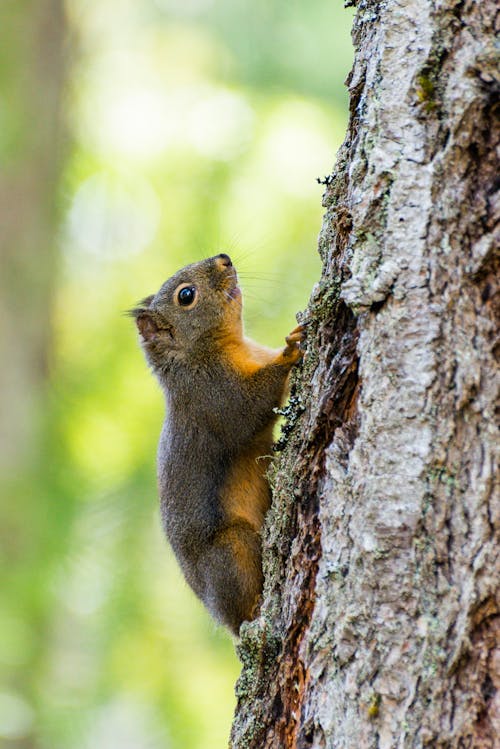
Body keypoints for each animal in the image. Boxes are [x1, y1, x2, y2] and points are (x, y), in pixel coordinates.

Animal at [131, 254, 302, 636]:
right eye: (186, 295)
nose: (224, 258)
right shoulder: (213, 396)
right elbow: (250, 409)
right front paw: (292, 351)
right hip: (231, 548)